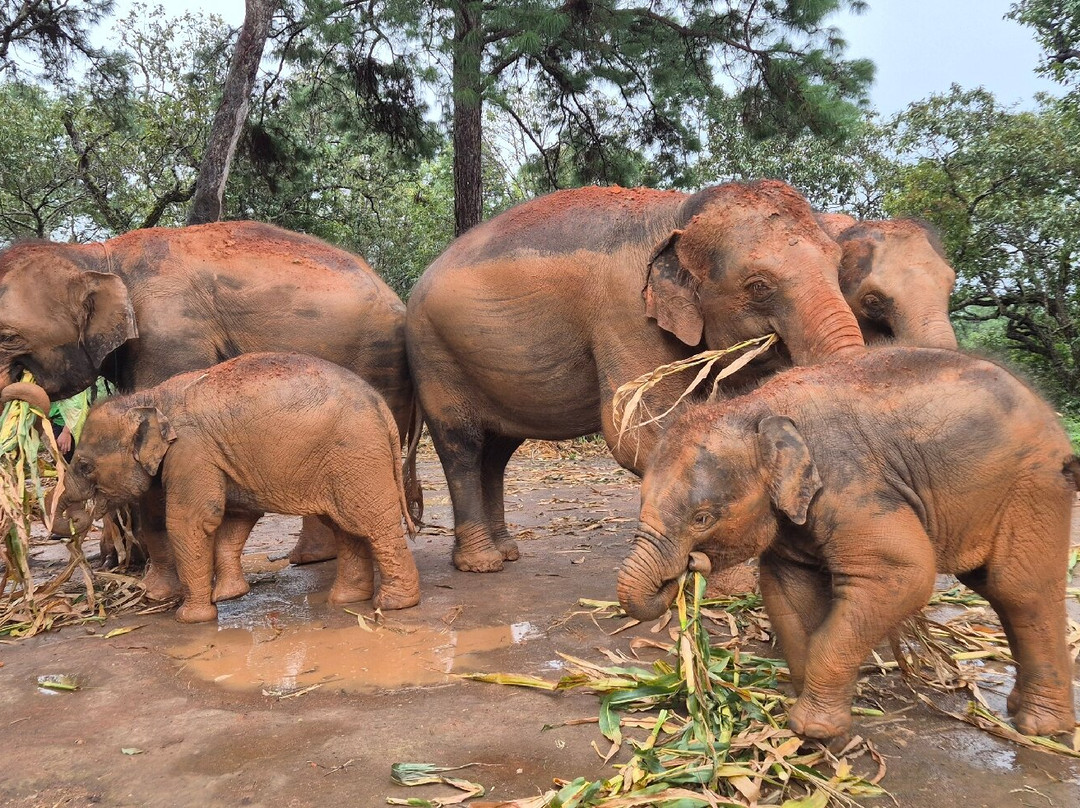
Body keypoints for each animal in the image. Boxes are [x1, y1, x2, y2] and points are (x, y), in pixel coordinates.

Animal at [0, 220, 421, 593]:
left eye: (7, 336)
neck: (99, 254)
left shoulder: (172, 336)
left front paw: (154, 588)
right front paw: (121, 564)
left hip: (380, 361)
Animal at [54, 353, 421, 623]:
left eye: (84, 465)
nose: (66, 525)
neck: (149, 398)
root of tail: (380, 405)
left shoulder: (192, 451)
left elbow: (194, 520)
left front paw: (191, 618)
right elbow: (238, 516)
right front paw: (229, 595)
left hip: (355, 456)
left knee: (371, 522)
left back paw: (393, 604)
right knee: (344, 524)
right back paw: (347, 598)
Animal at [406, 179, 867, 573]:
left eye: (838, 265)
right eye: (758, 286)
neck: (679, 212)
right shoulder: (625, 313)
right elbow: (638, 434)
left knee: (498, 453)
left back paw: (507, 551)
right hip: (434, 356)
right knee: (462, 446)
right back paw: (481, 563)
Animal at [617, 347, 1077, 740]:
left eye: (702, 519)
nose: (688, 568)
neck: (756, 407)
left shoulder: (853, 482)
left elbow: (904, 572)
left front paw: (814, 730)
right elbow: (789, 590)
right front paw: (805, 713)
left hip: (1034, 484)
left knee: (1019, 590)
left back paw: (1040, 727)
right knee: (998, 589)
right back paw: (1022, 710)